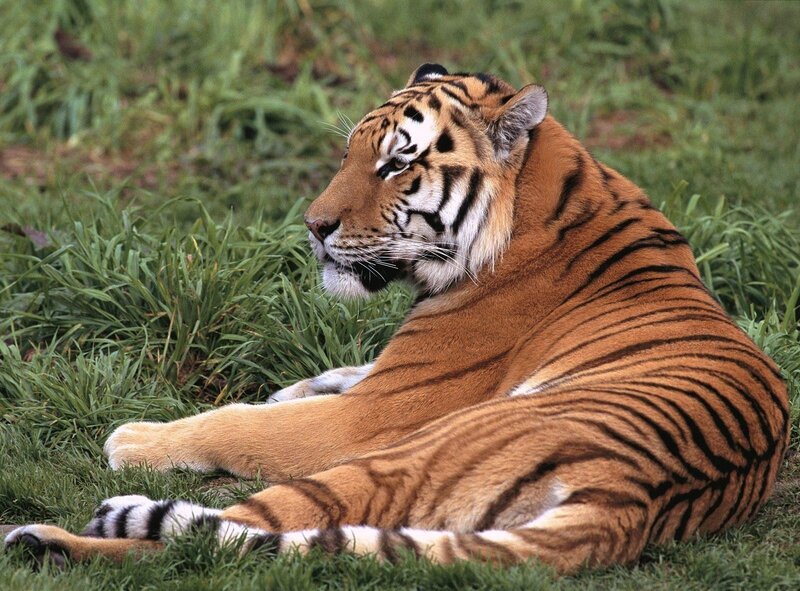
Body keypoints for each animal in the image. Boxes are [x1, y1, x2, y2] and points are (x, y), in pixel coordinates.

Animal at [5, 63, 789, 574]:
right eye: (352, 151)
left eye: (395, 166)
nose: (313, 226)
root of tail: (628, 499)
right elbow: (323, 379)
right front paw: (295, 386)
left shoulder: (375, 414)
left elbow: (241, 423)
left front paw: (136, 437)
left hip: (397, 457)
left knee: (211, 540)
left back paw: (44, 538)